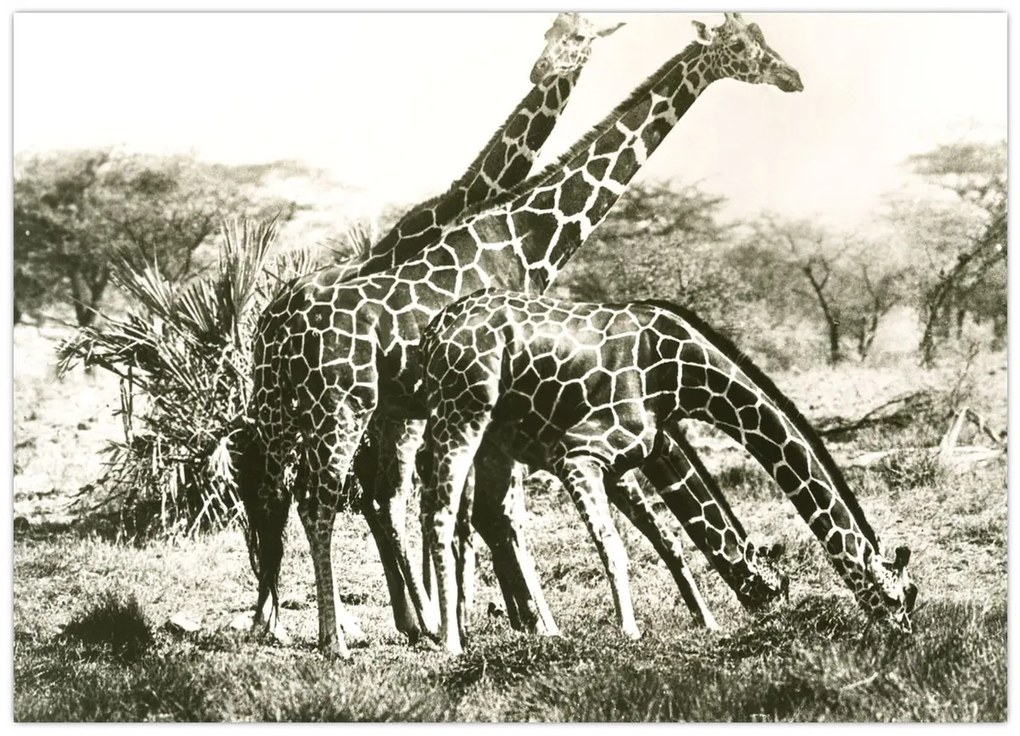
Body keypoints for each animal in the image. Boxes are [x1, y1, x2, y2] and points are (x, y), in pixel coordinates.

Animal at [246, 12, 803, 657]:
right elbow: (497, 514)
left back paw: (290, 622)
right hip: (344, 407)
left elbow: (484, 513)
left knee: (293, 493)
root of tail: (280, 322)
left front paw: (501, 619)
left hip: (293, 408)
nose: (791, 77)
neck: (523, 235)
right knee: (325, 499)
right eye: (740, 46)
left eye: (763, 40)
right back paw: (338, 635)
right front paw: (528, 624)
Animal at [417, 289, 919, 654]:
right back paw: (453, 643)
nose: (906, 637)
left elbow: (669, 539)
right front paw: (630, 632)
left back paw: (525, 630)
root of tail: (434, 331)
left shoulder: (628, 459)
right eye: (898, 597)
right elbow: (614, 545)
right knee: (443, 516)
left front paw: (707, 622)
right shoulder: (579, 453)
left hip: (484, 437)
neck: (682, 377)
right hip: (463, 412)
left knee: (479, 519)